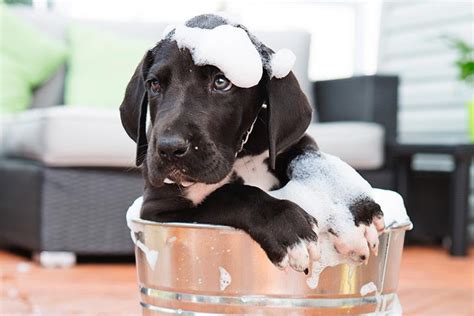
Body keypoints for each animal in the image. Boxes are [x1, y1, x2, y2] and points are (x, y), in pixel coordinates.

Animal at [120, 14, 384, 272]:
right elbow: (229, 194)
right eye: (154, 84)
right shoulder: (159, 210)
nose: (169, 149)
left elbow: (313, 158)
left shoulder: (295, 143)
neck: (241, 153)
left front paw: (357, 212)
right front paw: (287, 224)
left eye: (221, 82)